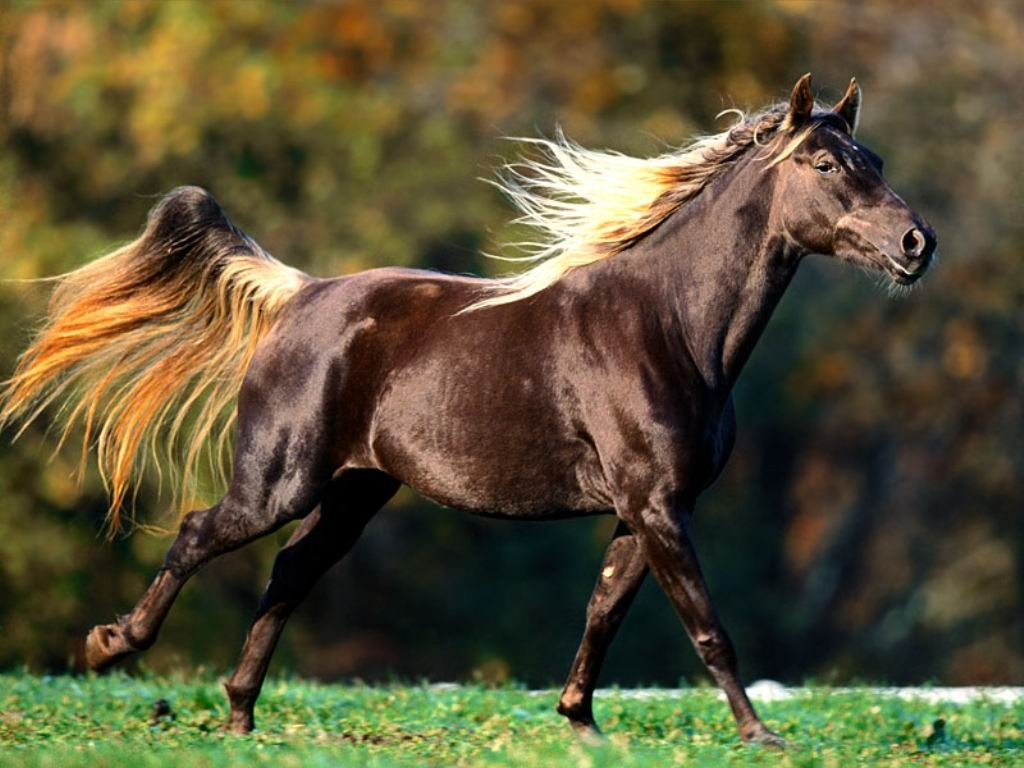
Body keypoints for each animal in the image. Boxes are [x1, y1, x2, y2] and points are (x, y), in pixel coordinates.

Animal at [0, 75, 937, 749]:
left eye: (878, 158)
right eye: (825, 165)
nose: (916, 244)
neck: (670, 324)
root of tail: (302, 295)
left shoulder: (646, 511)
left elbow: (604, 612)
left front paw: (580, 724)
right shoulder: (658, 506)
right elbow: (707, 626)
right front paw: (761, 735)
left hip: (354, 492)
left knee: (290, 574)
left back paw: (237, 715)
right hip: (279, 482)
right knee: (201, 533)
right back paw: (115, 646)